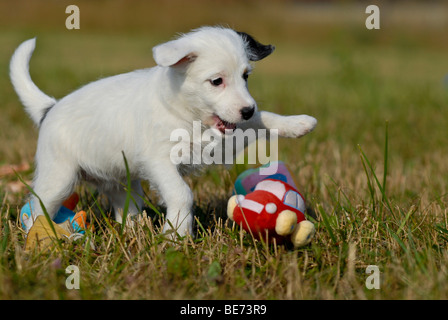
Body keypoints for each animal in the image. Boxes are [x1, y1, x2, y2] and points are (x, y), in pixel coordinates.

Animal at [9, 26, 316, 236]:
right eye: (217, 81)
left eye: (246, 77)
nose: (248, 109)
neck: (187, 114)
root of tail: (50, 108)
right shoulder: (159, 162)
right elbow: (181, 193)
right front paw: (177, 233)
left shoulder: (228, 133)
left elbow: (263, 120)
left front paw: (297, 123)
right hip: (58, 179)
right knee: (37, 207)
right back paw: (38, 238)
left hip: (120, 181)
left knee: (125, 206)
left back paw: (132, 231)